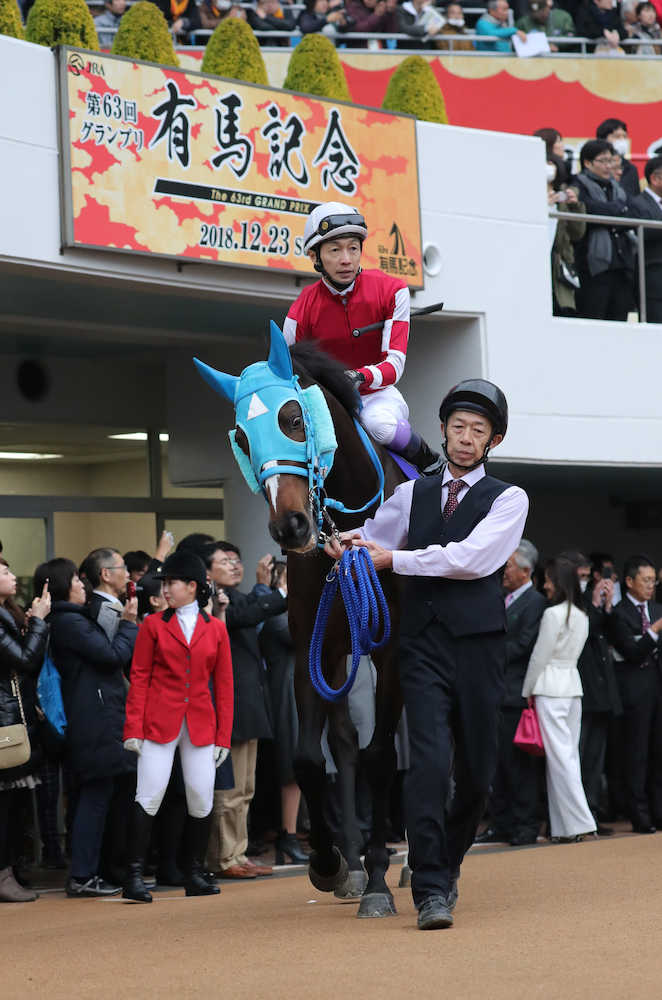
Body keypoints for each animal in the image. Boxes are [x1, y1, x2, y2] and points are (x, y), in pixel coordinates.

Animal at [195, 322, 408, 920]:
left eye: (293, 417)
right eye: (242, 438)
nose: (289, 526)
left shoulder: (393, 647)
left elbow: (381, 754)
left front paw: (379, 881)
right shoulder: (312, 647)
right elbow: (311, 758)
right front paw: (330, 863)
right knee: (342, 743)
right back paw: (351, 865)